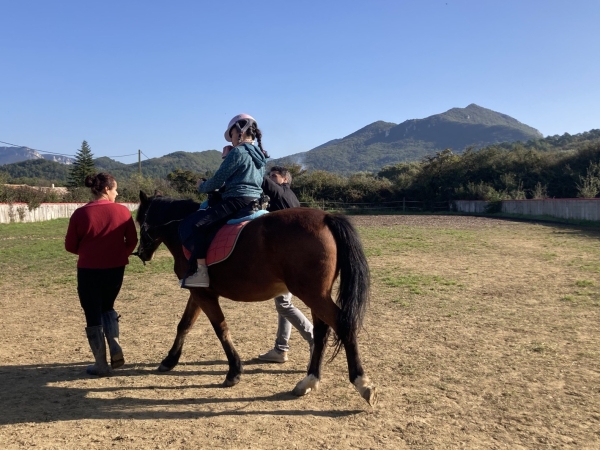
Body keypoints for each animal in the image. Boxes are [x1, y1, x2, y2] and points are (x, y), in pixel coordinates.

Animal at [135, 192, 378, 406]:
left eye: (138, 220)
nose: (140, 254)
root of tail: (326, 217)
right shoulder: (198, 292)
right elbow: (184, 325)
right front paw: (169, 360)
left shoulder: (203, 295)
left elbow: (221, 329)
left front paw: (234, 371)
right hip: (316, 295)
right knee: (321, 332)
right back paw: (308, 381)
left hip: (313, 294)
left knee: (344, 325)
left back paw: (362, 383)